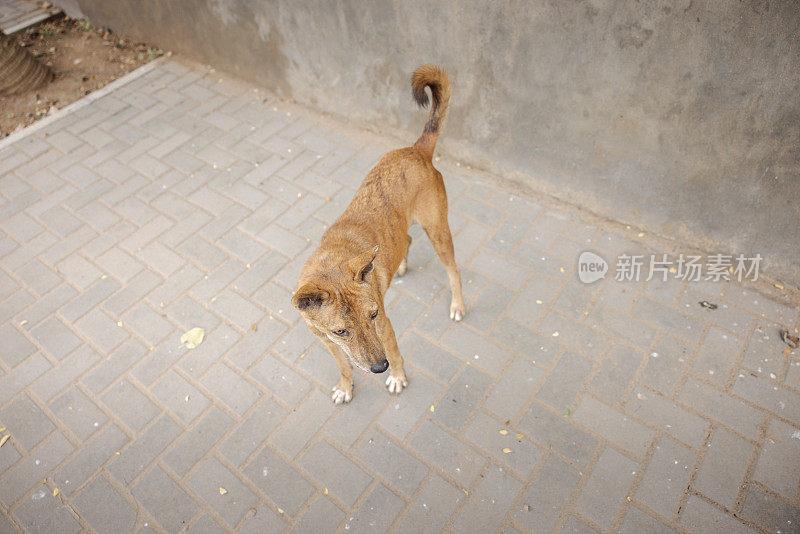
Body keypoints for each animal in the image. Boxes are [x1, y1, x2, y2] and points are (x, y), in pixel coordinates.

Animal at [290, 65, 466, 404]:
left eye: (371, 316)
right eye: (340, 331)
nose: (379, 368)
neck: (331, 265)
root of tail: (416, 149)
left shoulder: (385, 326)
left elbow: (396, 353)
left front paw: (397, 377)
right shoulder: (328, 342)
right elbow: (345, 366)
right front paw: (346, 388)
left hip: (438, 231)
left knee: (453, 270)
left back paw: (457, 305)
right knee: (406, 239)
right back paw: (400, 266)